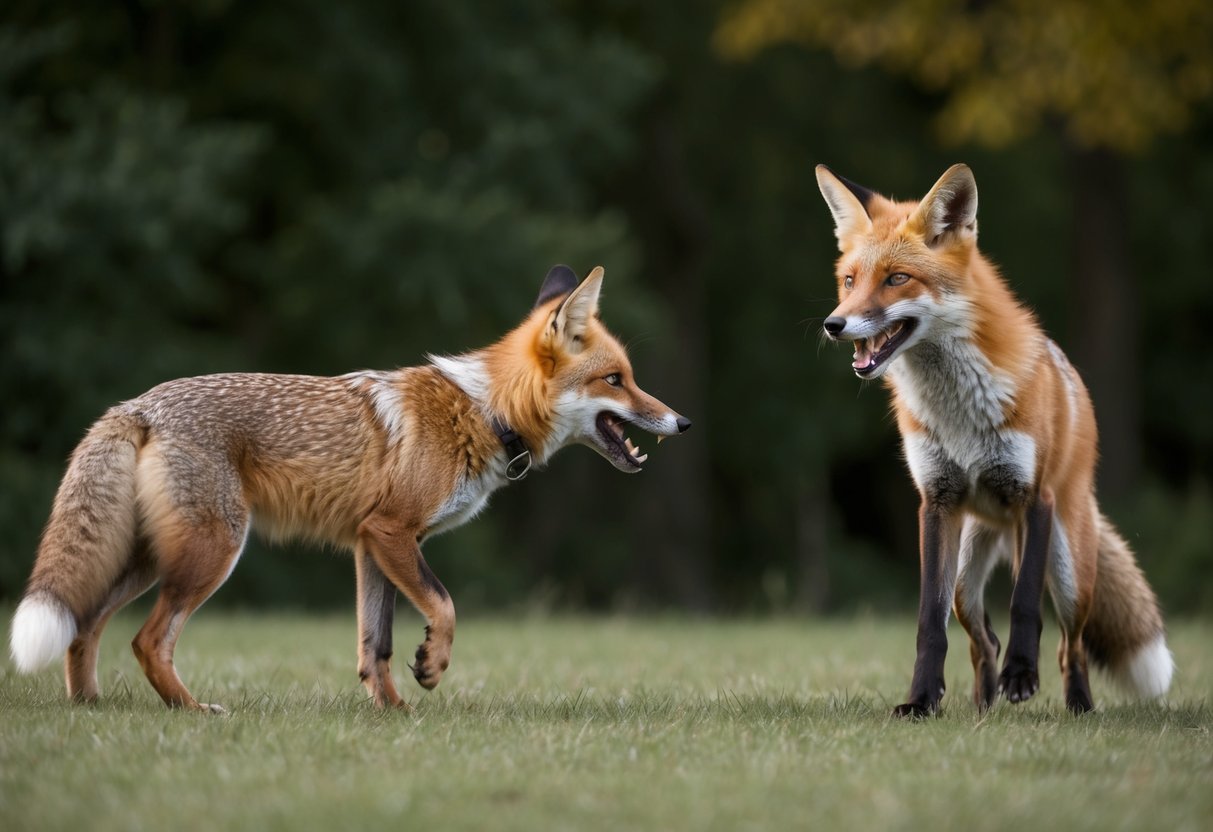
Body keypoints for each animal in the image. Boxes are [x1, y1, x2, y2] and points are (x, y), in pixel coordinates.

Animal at [8, 264, 690, 712]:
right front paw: (431, 670)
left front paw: (393, 713)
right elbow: (444, 606)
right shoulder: (392, 533)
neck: (483, 413)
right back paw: (193, 712)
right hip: (211, 553)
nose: (682, 422)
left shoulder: (372, 544)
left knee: (83, 627)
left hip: (148, 559)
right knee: (146, 641)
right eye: (616, 380)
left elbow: (375, 643)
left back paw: (92, 708)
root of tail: (136, 405)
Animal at [815, 163, 1173, 716]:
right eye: (849, 280)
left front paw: (1022, 676)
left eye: (897, 278)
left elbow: (1024, 605)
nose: (834, 324)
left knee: (1070, 645)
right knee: (981, 639)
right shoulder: (935, 503)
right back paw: (983, 708)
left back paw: (1077, 706)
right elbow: (929, 623)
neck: (959, 415)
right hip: (966, 577)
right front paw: (921, 701)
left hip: (1068, 568)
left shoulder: (1033, 496)